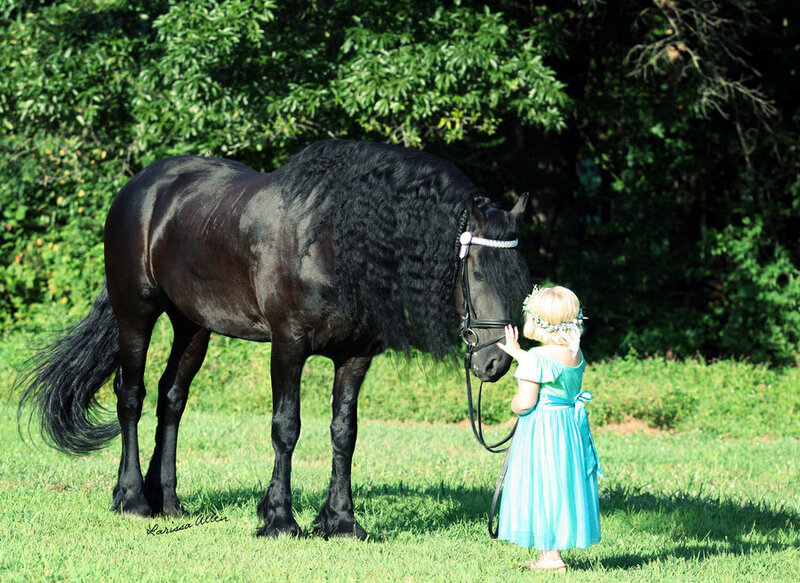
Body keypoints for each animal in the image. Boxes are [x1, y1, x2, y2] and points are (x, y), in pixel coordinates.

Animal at [17, 139, 530, 539]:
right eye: (476, 270)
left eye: (517, 272)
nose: (496, 364)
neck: (332, 240)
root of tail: (139, 188)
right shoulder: (288, 346)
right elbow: (286, 427)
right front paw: (280, 519)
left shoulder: (356, 357)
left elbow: (344, 433)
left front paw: (342, 522)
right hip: (136, 314)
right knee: (132, 396)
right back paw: (132, 499)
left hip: (193, 327)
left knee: (172, 399)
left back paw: (168, 501)